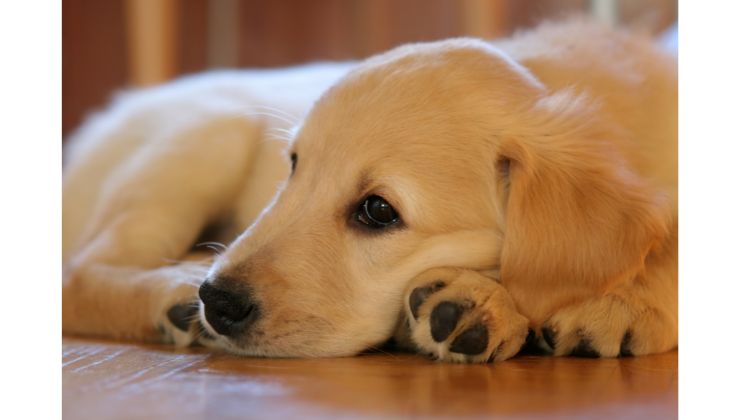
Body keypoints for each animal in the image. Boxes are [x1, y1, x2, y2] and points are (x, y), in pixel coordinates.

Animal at [63, 18, 676, 360]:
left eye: (378, 210)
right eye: (293, 167)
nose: (217, 300)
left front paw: (624, 303)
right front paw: (483, 302)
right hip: (209, 136)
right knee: (76, 274)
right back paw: (171, 292)